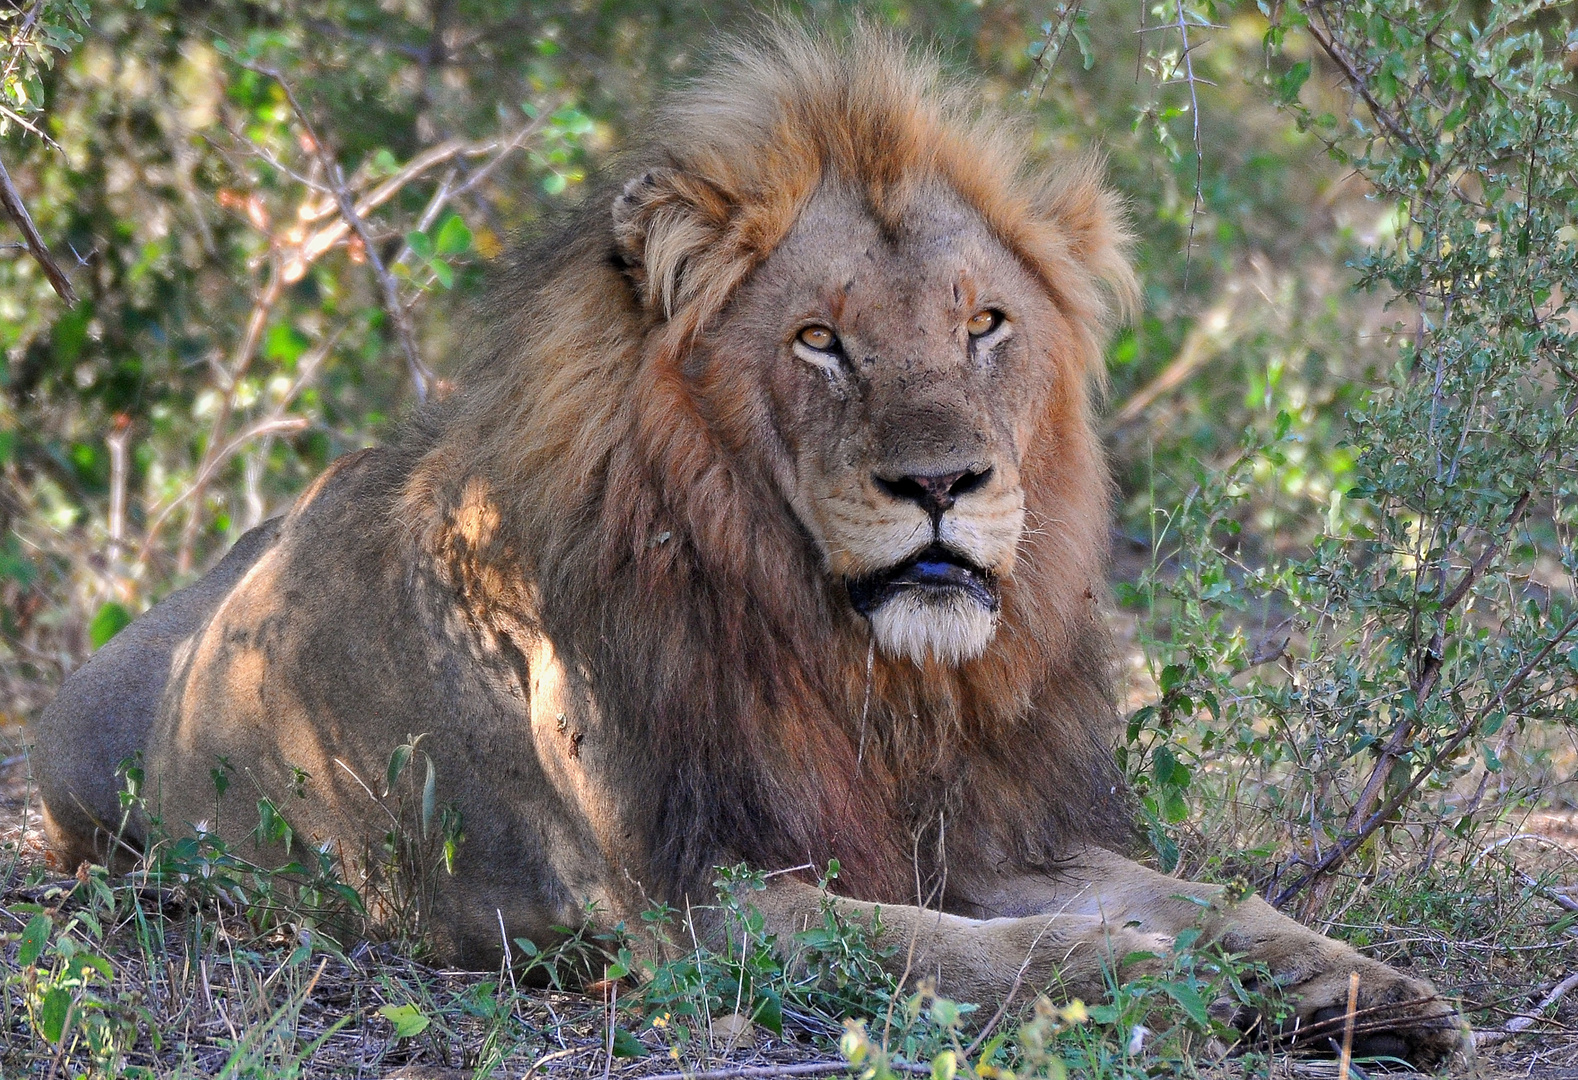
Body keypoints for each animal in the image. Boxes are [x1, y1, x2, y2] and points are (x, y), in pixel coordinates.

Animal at [30, 25, 1458, 1061]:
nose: (942, 482)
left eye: (985, 323)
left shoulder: (985, 835)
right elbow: (957, 952)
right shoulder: (696, 905)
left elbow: (1205, 894)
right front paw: (1143, 986)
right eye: (820, 341)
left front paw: (1360, 990)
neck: (864, 670)